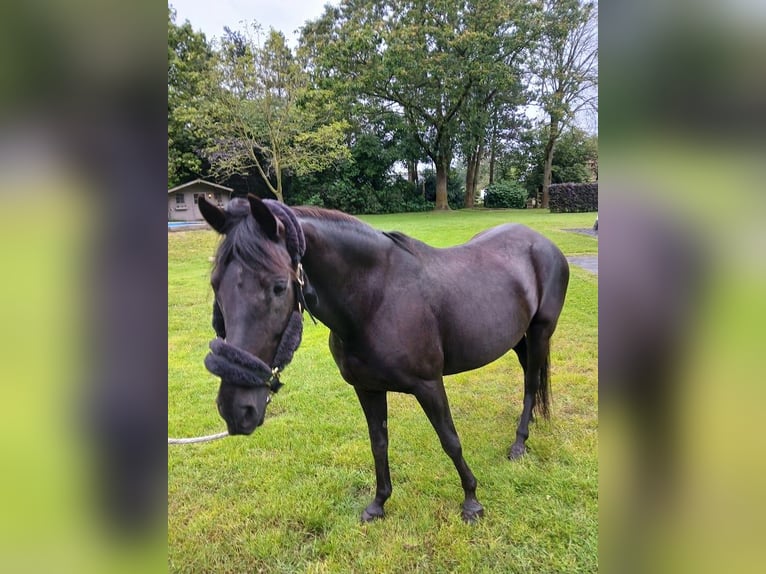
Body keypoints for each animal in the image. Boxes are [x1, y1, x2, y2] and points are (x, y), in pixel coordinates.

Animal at [198, 196, 568, 524]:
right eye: (216, 285)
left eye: (278, 287)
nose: (236, 409)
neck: (376, 300)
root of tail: (543, 244)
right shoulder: (367, 389)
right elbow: (379, 444)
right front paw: (378, 504)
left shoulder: (429, 385)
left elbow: (450, 440)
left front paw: (472, 502)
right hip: (517, 340)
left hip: (539, 332)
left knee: (531, 382)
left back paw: (519, 443)